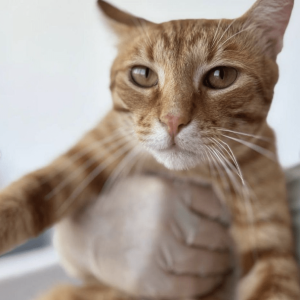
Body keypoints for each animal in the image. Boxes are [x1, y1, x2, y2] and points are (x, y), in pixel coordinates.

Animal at [0, 0, 300, 298]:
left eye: (221, 76)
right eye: (142, 75)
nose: (173, 120)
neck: (187, 174)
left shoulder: (270, 248)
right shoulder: (86, 157)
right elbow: (25, 194)